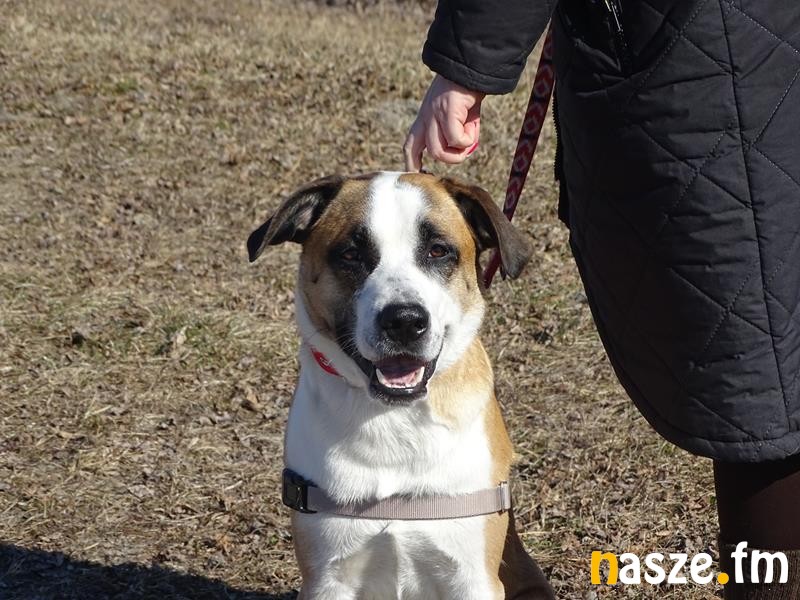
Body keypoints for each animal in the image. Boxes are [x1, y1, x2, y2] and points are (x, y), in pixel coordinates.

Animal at [248, 172, 554, 599]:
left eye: (439, 251)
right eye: (351, 254)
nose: (405, 321)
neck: (394, 418)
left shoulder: (472, 577)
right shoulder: (328, 578)